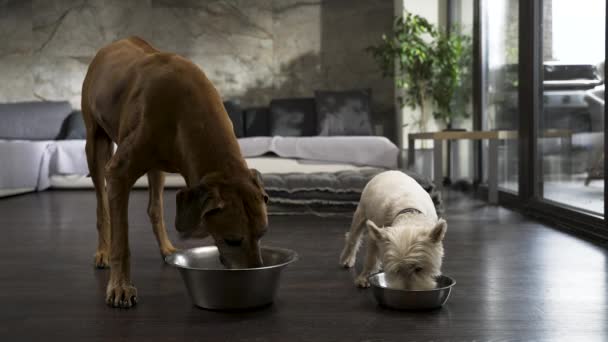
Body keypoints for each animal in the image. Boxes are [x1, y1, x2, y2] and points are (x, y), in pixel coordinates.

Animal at [81, 36, 268, 308]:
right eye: (232, 240)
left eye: (263, 233)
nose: (254, 277)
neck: (187, 109)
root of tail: (113, 44)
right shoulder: (117, 173)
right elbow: (121, 242)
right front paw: (120, 287)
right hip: (95, 144)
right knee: (102, 206)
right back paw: (102, 251)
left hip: (157, 167)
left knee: (155, 207)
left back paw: (167, 248)